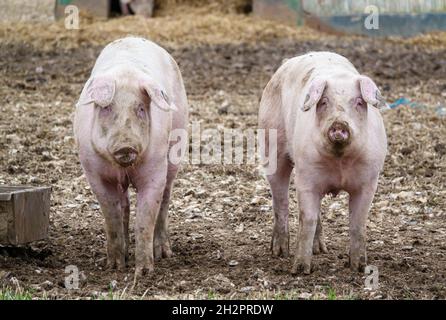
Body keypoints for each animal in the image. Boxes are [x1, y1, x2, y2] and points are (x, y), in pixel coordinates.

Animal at [74, 37, 188, 278]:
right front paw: (114, 267)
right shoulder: (94, 172)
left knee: (165, 199)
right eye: (106, 108)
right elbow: (112, 215)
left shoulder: (155, 169)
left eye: (141, 109)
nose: (125, 145)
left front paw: (144, 272)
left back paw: (164, 253)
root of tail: (133, 37)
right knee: (124, 205)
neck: (123, 166)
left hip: (176, 147)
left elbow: (145, 218)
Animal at [258, 51, 386, 274]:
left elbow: (358, 222)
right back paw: (280, 252)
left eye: (359, 102)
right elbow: (306, 219)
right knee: (280, 200)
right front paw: (300, 269)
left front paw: (359, 267)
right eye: (324, 102)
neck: (340, 162)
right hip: (271, 146)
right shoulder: (305, 176)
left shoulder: (369, 180)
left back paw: (320, 249)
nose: (339, 124)